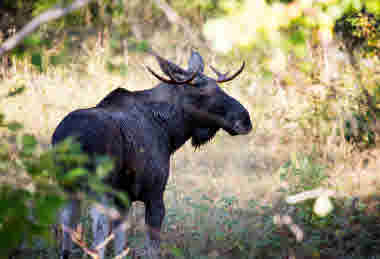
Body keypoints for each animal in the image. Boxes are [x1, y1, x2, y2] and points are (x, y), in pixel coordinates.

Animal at [51, 49, 252, 258]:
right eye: (202, 93)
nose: (245, 119)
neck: (170, 132)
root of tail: (70, 140)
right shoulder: (154, 193)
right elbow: (152, 246)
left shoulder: (124, 198)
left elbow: (121, 243)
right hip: (99, 186)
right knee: (99, 224)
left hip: (67, 186)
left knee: (66, 222)